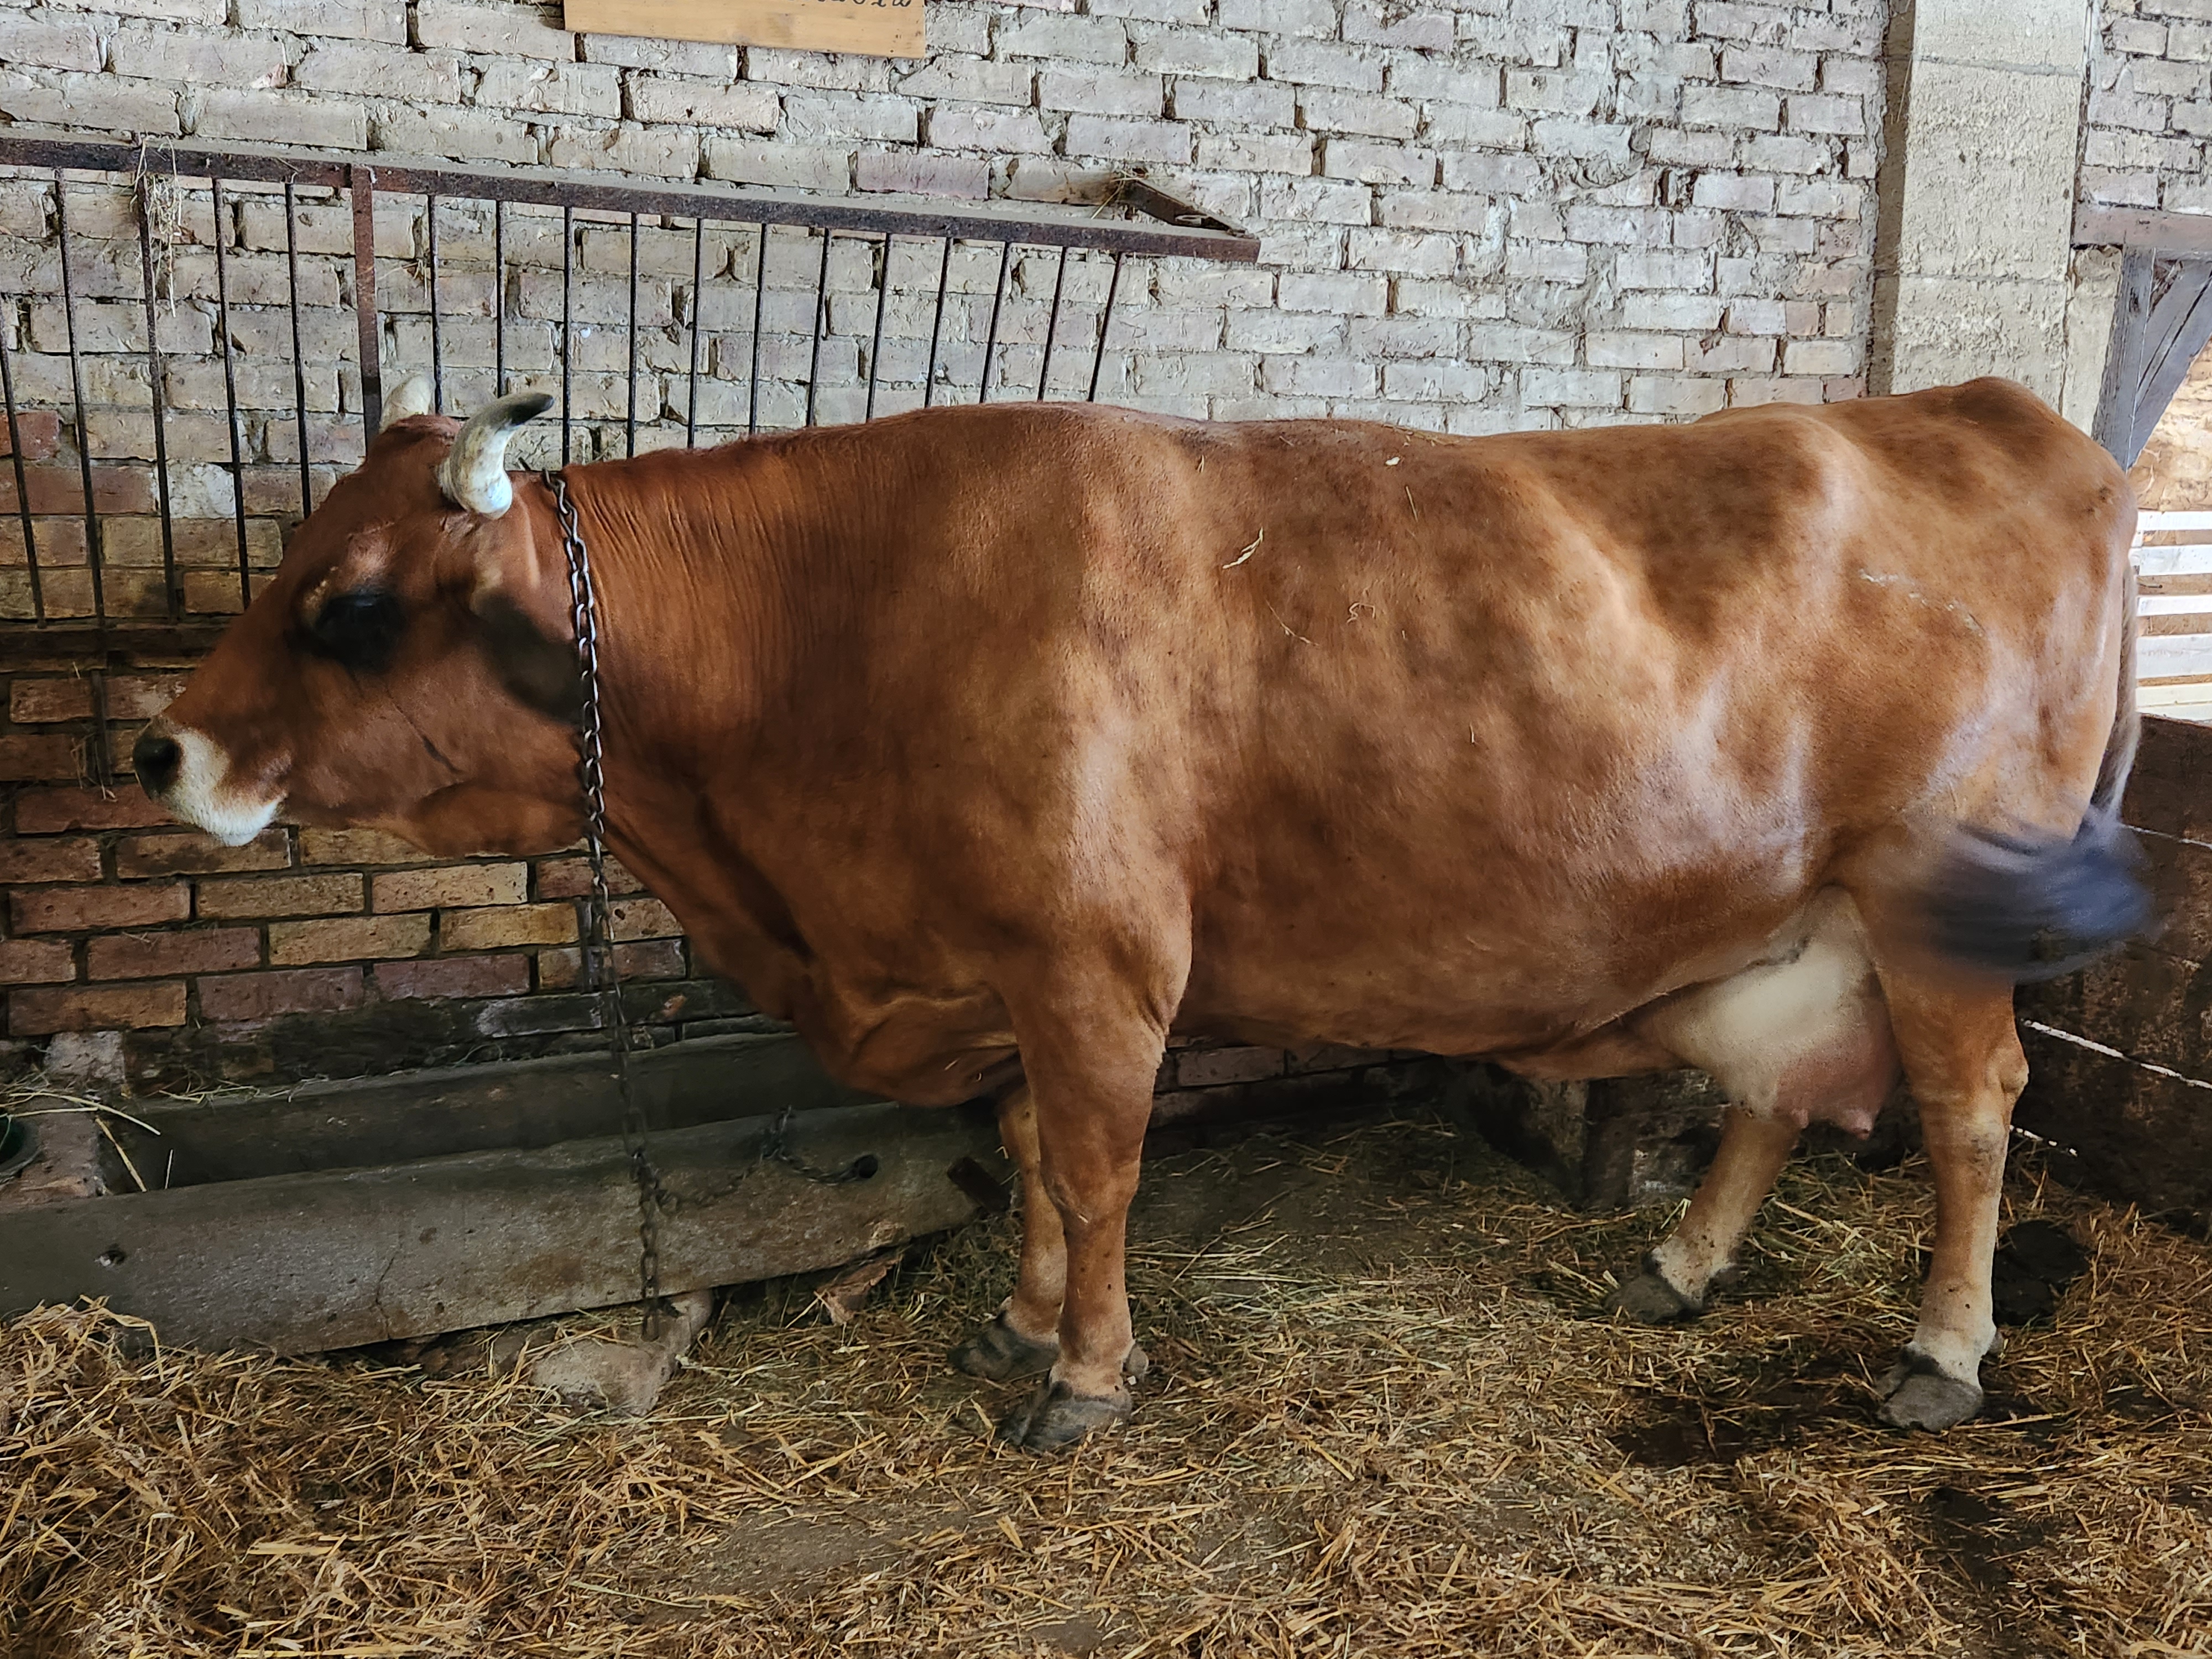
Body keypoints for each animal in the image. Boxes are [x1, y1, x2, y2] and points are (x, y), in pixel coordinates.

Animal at [133, 374, 2145, 1451]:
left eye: (353, 603)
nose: (160, 748)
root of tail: (1988, 411)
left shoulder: (1100, 961)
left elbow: (1099, 1169)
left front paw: (1087, 1383)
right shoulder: (1005, 971)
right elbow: (1031, 1152)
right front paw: (1024, 1329)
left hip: (1939, 901)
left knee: (1970, 1114)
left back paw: (1940, 1356)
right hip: (1800, 911)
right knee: (1780, 1092)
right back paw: (1681, 1266)